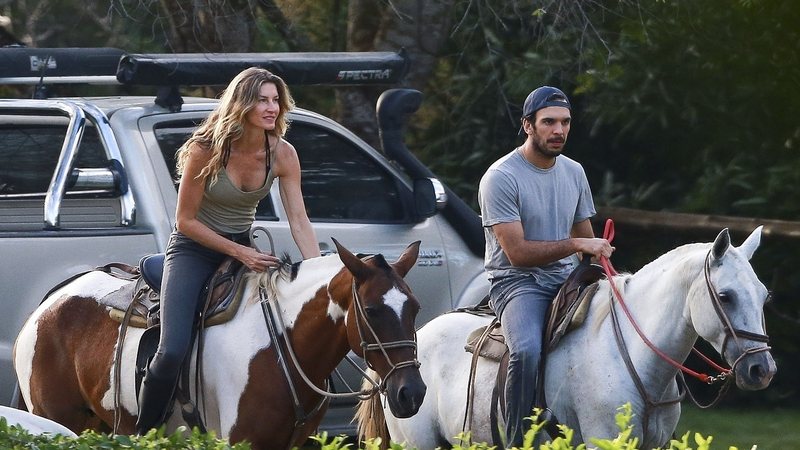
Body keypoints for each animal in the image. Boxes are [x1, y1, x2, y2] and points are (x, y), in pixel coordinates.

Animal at [12, 241, 428, 448]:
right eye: (372, 311)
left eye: (415, 307)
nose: (412, 393)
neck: (282, 346)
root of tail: (49, 304)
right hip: (58, 420)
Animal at [360, 227, 780, 448]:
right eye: (725, 296)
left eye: (764, 295)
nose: (762, 370)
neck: (631, 357)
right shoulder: (602, 440)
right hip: (415, 442)